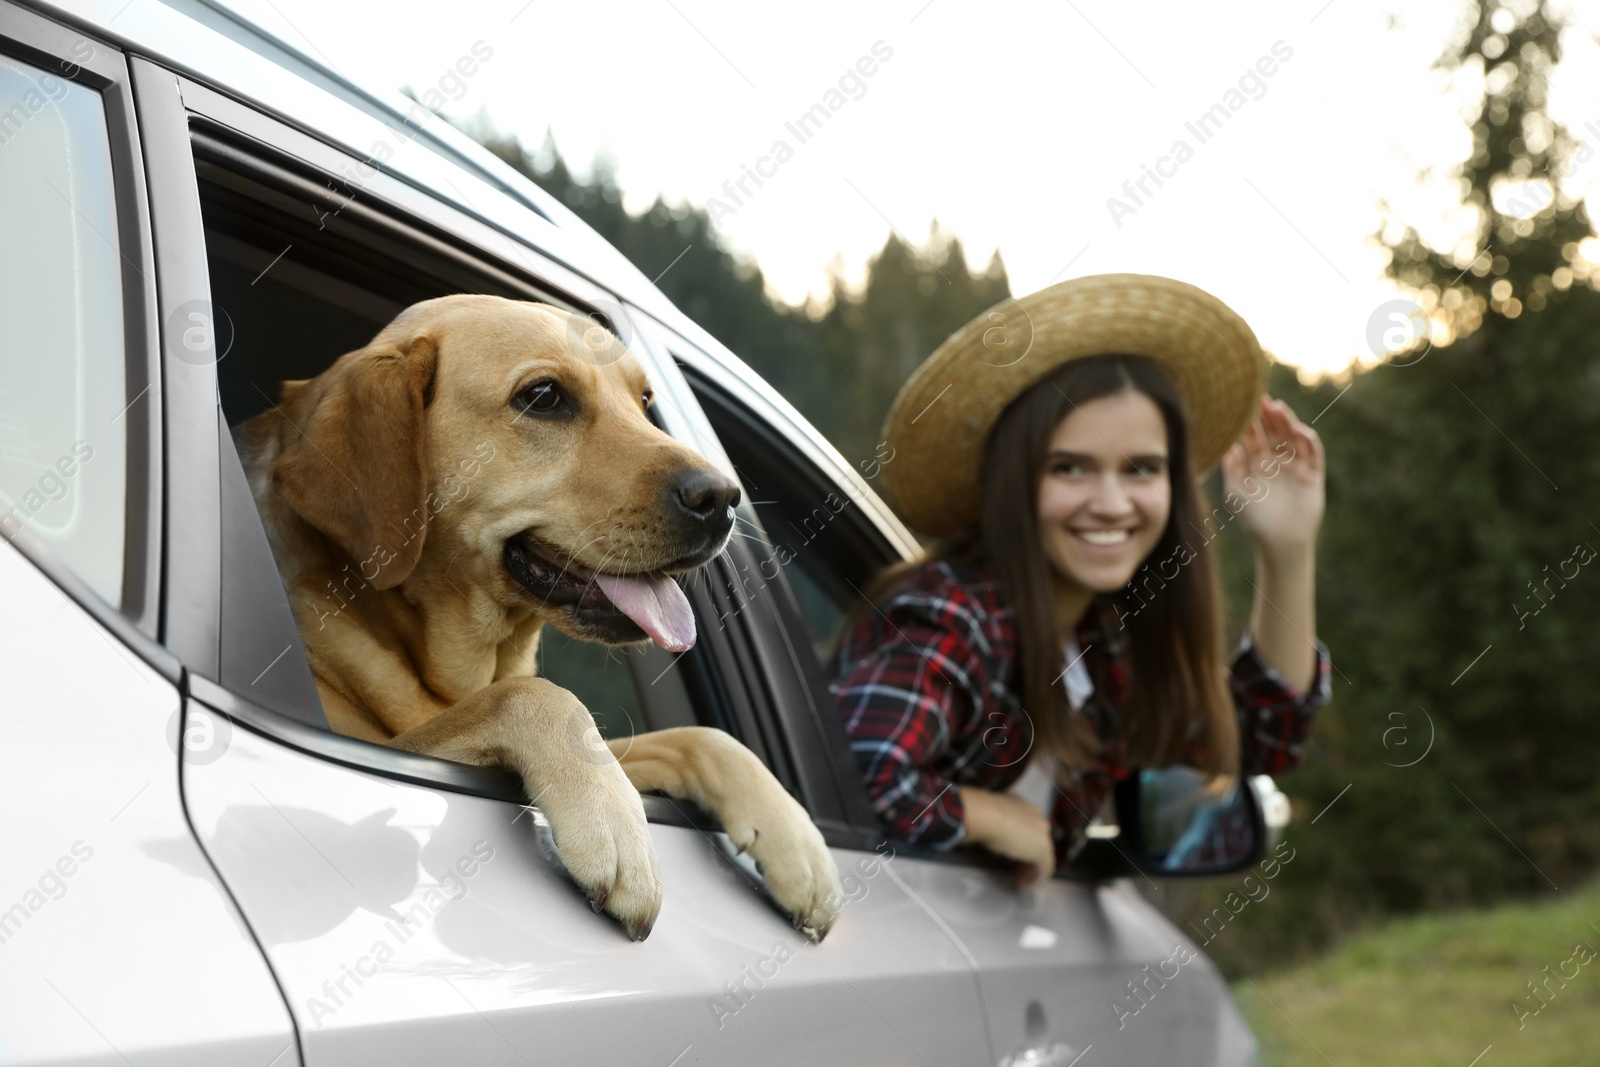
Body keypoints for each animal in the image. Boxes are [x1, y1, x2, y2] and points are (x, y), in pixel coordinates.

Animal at [233, 294, 851, 940]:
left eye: (644, 401)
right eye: (544, 396)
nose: (723, 498)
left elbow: (700, 738)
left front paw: (797, 842)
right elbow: (530, 695)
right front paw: (614, 823)